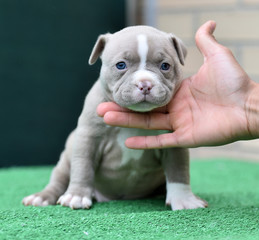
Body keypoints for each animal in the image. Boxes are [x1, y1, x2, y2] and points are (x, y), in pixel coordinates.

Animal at [22, 25, 209, 210]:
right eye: (121, 65)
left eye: (165, 66)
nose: (145, 84)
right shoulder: (88, 138)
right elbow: (83, 166)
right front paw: (77, 195)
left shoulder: (173, 144)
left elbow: (178, 171)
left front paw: (184, 199)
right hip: (65, 159)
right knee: (59, 179)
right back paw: (41, 197)